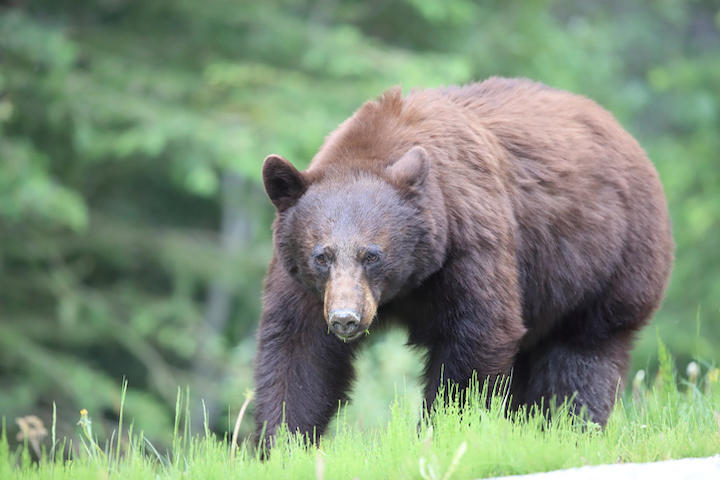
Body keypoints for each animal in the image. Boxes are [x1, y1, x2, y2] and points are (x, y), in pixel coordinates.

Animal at [252, 77, 676, 448]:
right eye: (321, 255)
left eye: (372, 254)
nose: (345, 318)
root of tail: (622, 132)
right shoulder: (302, 281)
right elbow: (300, 351)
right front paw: (283, 444)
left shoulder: (469, 243)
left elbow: (479, 335)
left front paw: (439, 432)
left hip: (608, 265)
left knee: (582, 357)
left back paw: (569, 428)